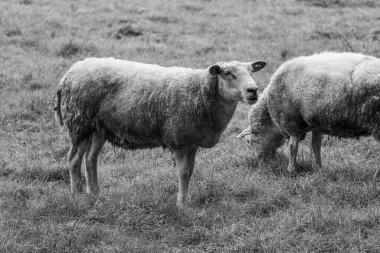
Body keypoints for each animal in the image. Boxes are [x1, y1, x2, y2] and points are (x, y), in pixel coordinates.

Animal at [55, 57, 268, 208]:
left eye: (251, 71)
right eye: (227, 72)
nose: (253, 90)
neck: (200, 92)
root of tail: (68, 74)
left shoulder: (192, 142)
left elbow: (190, 171)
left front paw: (187, 199)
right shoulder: (179, 141)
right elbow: (183, 173)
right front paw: (181, 204)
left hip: (98, 128)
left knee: (90, 159)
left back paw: (94, 193)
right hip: (79, 124)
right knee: (73, 159)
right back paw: (77, 194)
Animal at [238, 52, 380, 176]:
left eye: (248, 141)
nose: (261, 164)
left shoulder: (291, 123)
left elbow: (292, 148)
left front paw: (291, 170)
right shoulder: (317, 123)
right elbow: (316, 146)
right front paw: (318, 169)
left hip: (376, 121)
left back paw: (375, 177)